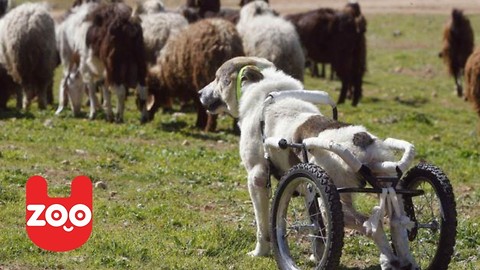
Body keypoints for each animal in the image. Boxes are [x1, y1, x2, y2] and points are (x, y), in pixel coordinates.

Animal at [199, 56, 416, 268]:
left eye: (217, 77)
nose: (200, 92)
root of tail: (363, 141)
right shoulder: (306, 184)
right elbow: (316, 230)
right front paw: (316, 256)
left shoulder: (257, 178)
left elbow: (263, 226)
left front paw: (260, 252)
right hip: (387, 185)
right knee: (397, 222)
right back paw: (404, 258)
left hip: (333, 200)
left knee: (371, 225)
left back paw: (390, 258)